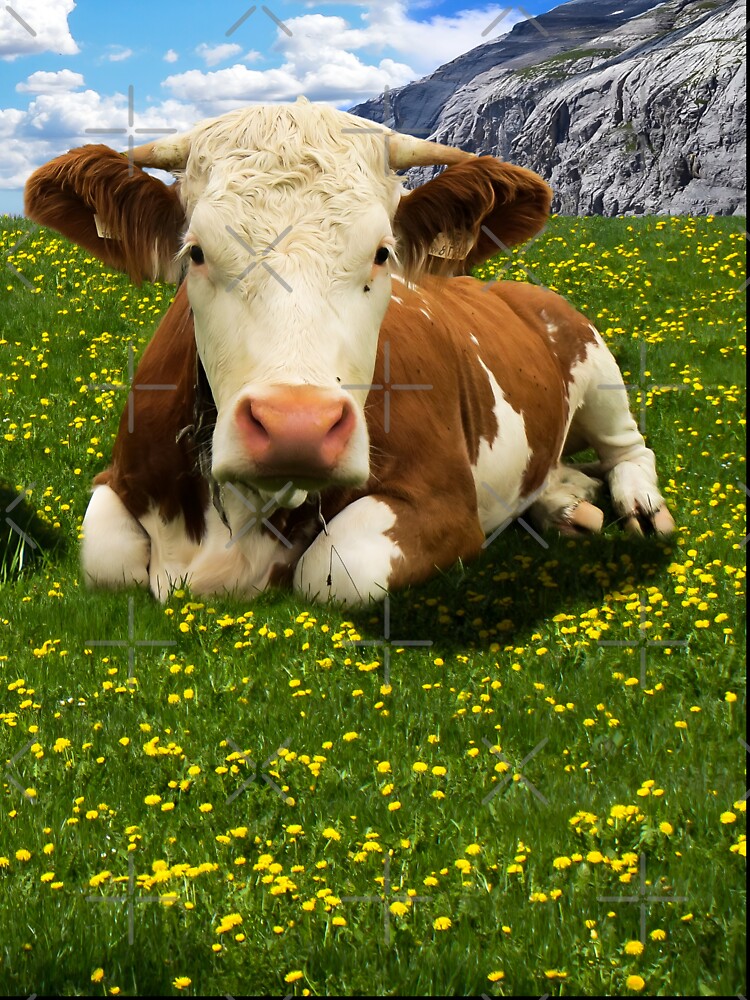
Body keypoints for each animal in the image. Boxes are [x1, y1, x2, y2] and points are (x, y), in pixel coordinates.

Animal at [24, 99, 674, 606]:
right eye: (197, 253)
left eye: (383, 253)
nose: (297, 426)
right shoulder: (116, 485)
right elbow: (105, 555)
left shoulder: (445, 506)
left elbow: (336, 569)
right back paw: (565, 503)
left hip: (595, 361)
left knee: (627, 449)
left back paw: (641, 507)